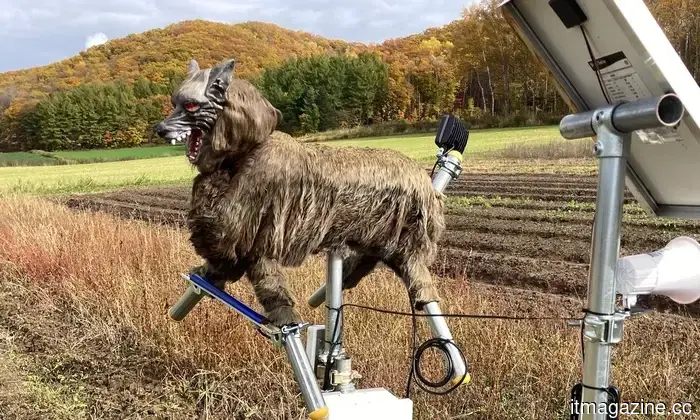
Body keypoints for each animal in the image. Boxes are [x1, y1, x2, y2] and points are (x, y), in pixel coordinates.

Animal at [155, 58, 446, 327]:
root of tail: (424, 181)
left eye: (191, 105)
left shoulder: (248, 224)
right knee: (389, 272)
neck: (247, 147)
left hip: (405, 241)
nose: (159, 128)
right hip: (382, 241)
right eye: (173, 103)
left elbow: (234, 251)